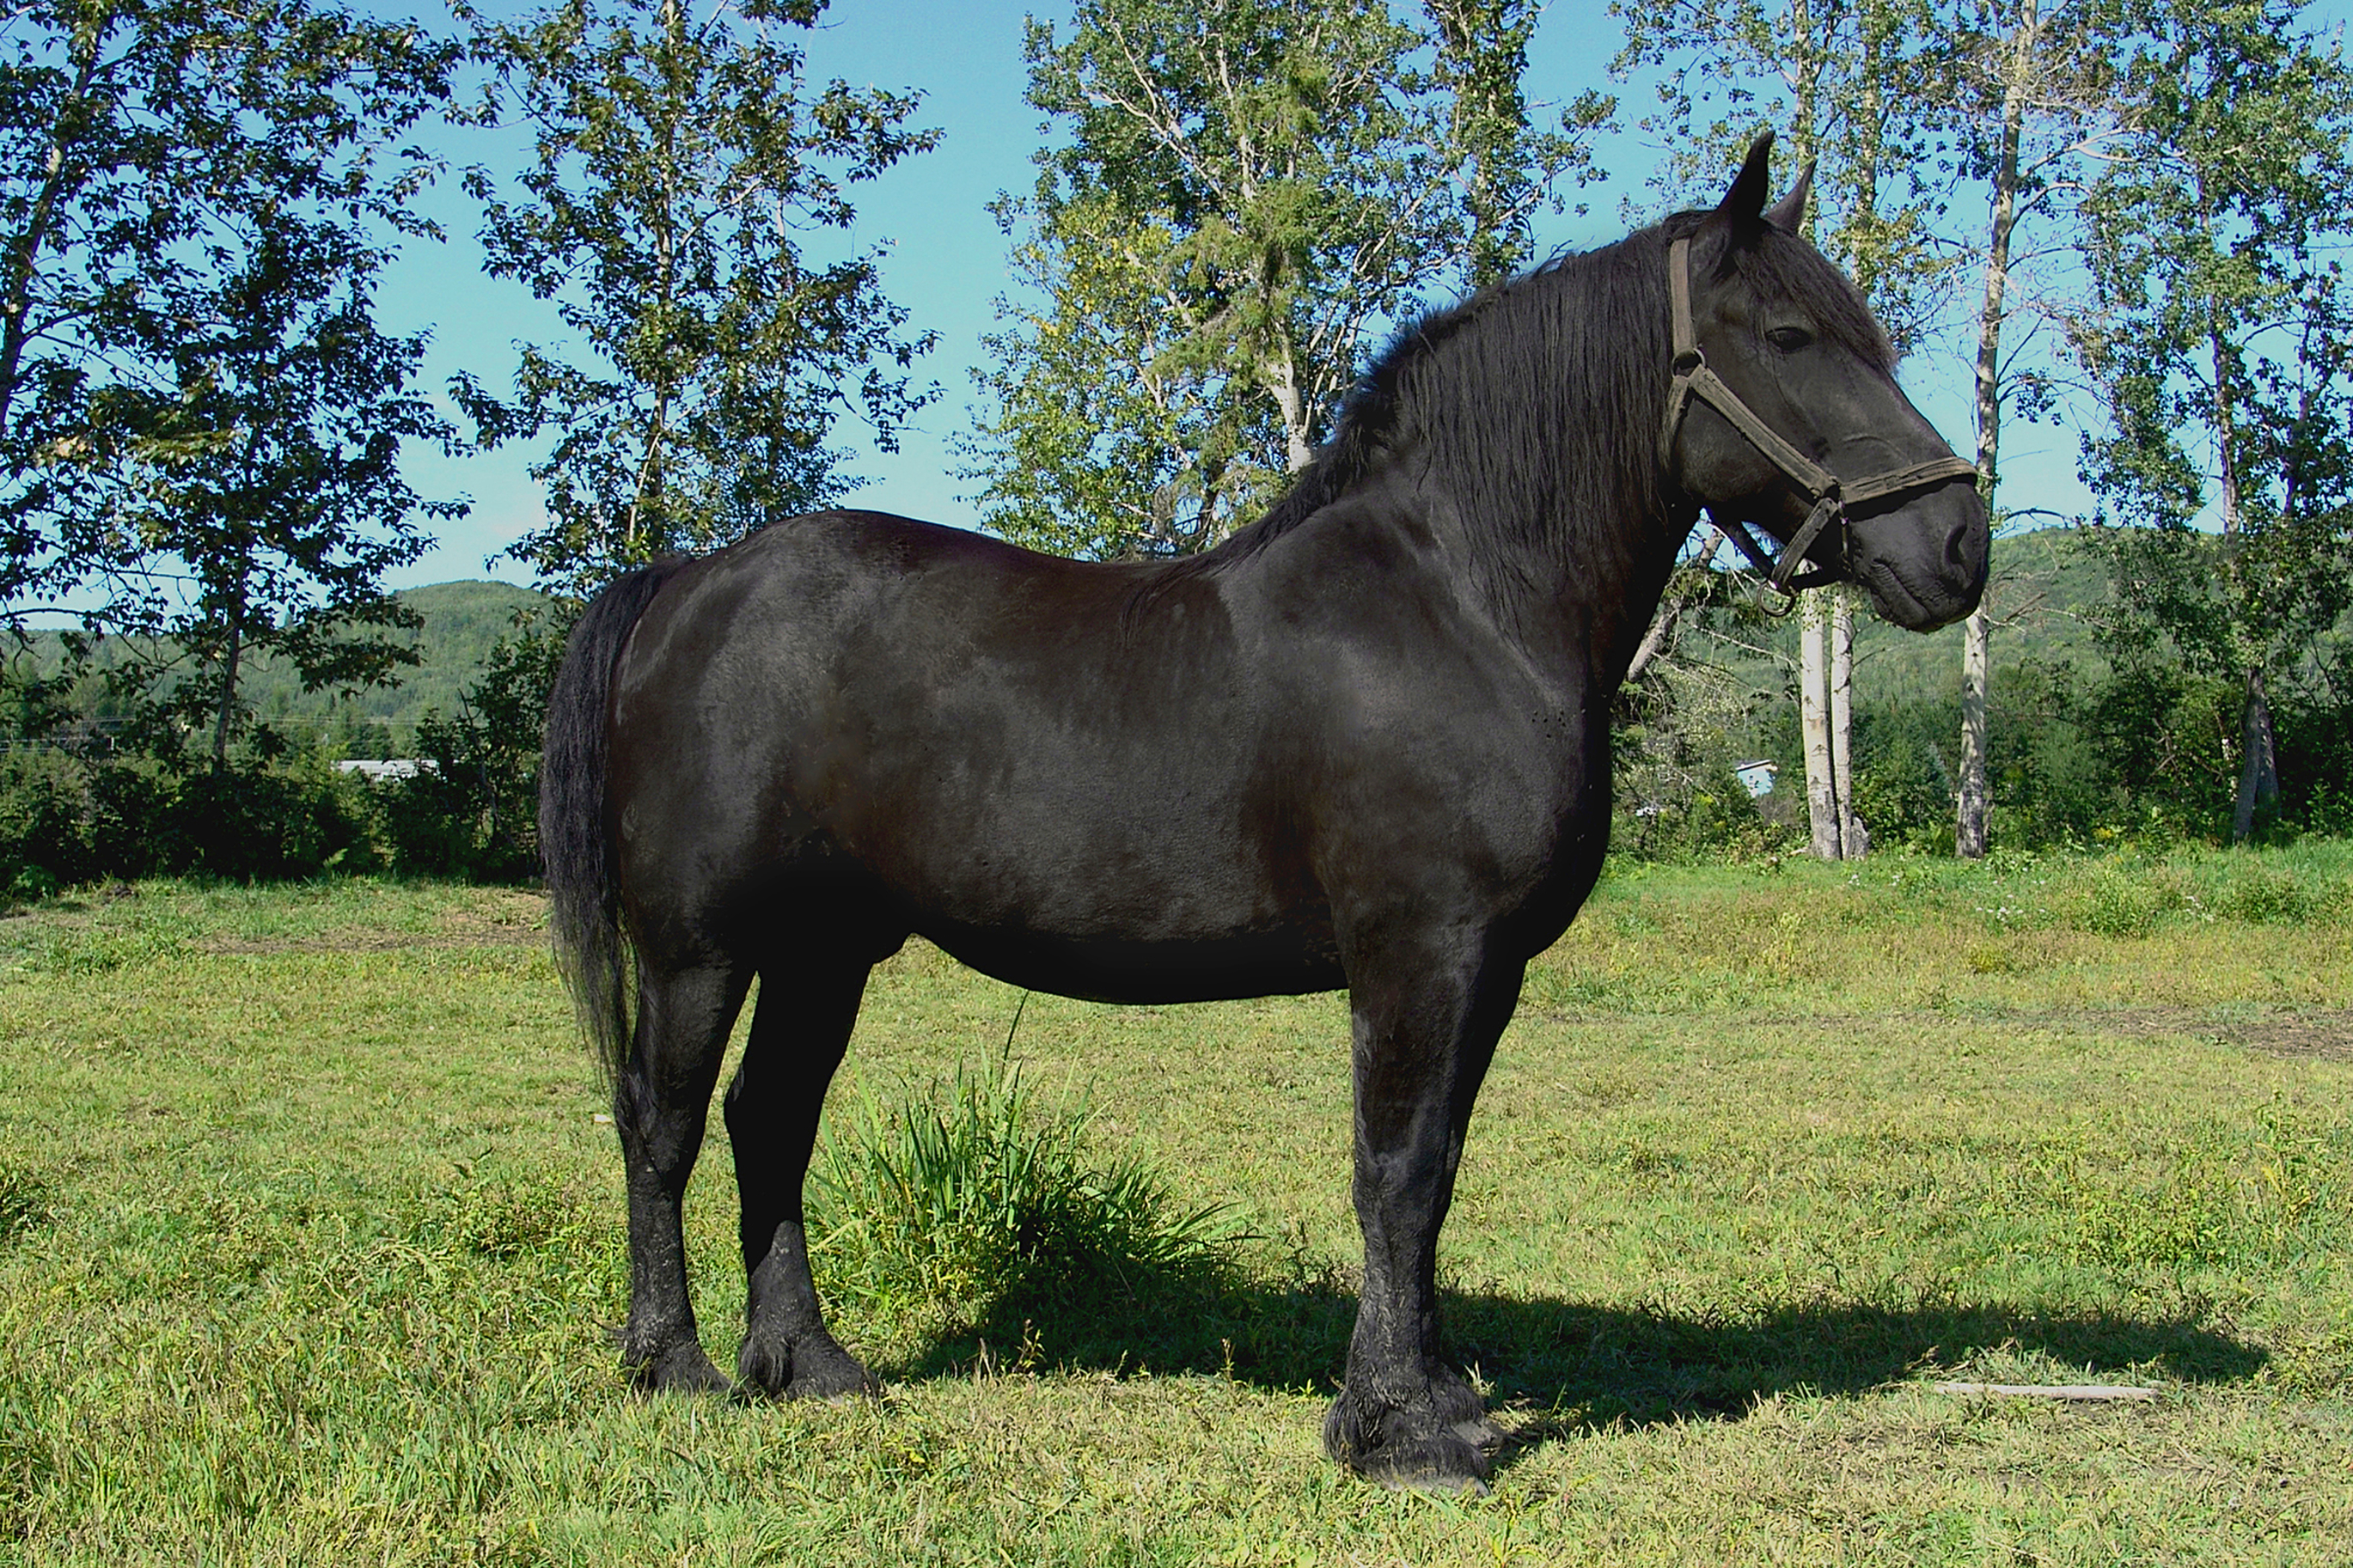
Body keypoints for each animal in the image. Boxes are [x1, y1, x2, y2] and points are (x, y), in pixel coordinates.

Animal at [534, 137, 1985, 1495]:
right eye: (1788, 338)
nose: (1960, 545)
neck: (1458, 603)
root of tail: (687, 581)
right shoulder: (1418, 952)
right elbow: (1394, 1170)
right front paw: (1397, 1432)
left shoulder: (1487, 971)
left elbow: (1436, 1171)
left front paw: (1434, 1397)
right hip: (699, 948)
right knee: (660, 1124)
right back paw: (674, 1367)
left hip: (823, 949)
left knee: (768, 1120)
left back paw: (808, 1364)